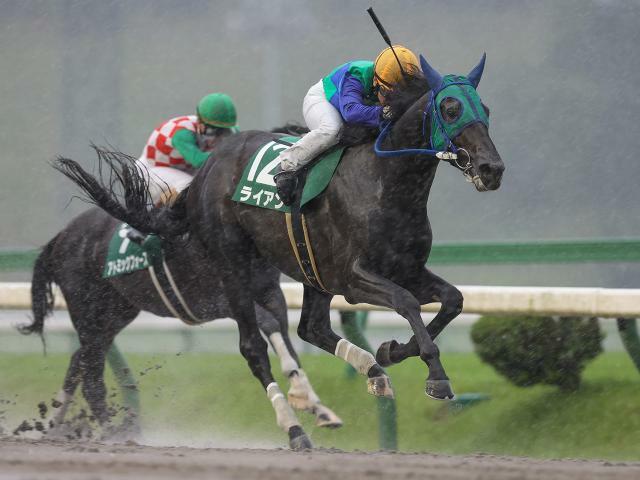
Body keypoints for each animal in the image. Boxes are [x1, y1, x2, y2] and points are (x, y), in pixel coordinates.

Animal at [56, 54, 504, 408]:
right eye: (449, 108)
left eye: (484, 107)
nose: (491, 169)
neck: (383, 182)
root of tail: (205, 172)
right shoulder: (354, 277)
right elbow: (408, 302)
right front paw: (435, 375)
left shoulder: (405, 268)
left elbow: (453, 300)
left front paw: (392, 350)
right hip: (235, 262)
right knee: (260, 339)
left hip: (309, 270)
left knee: (310, 328)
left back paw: (371, 370)